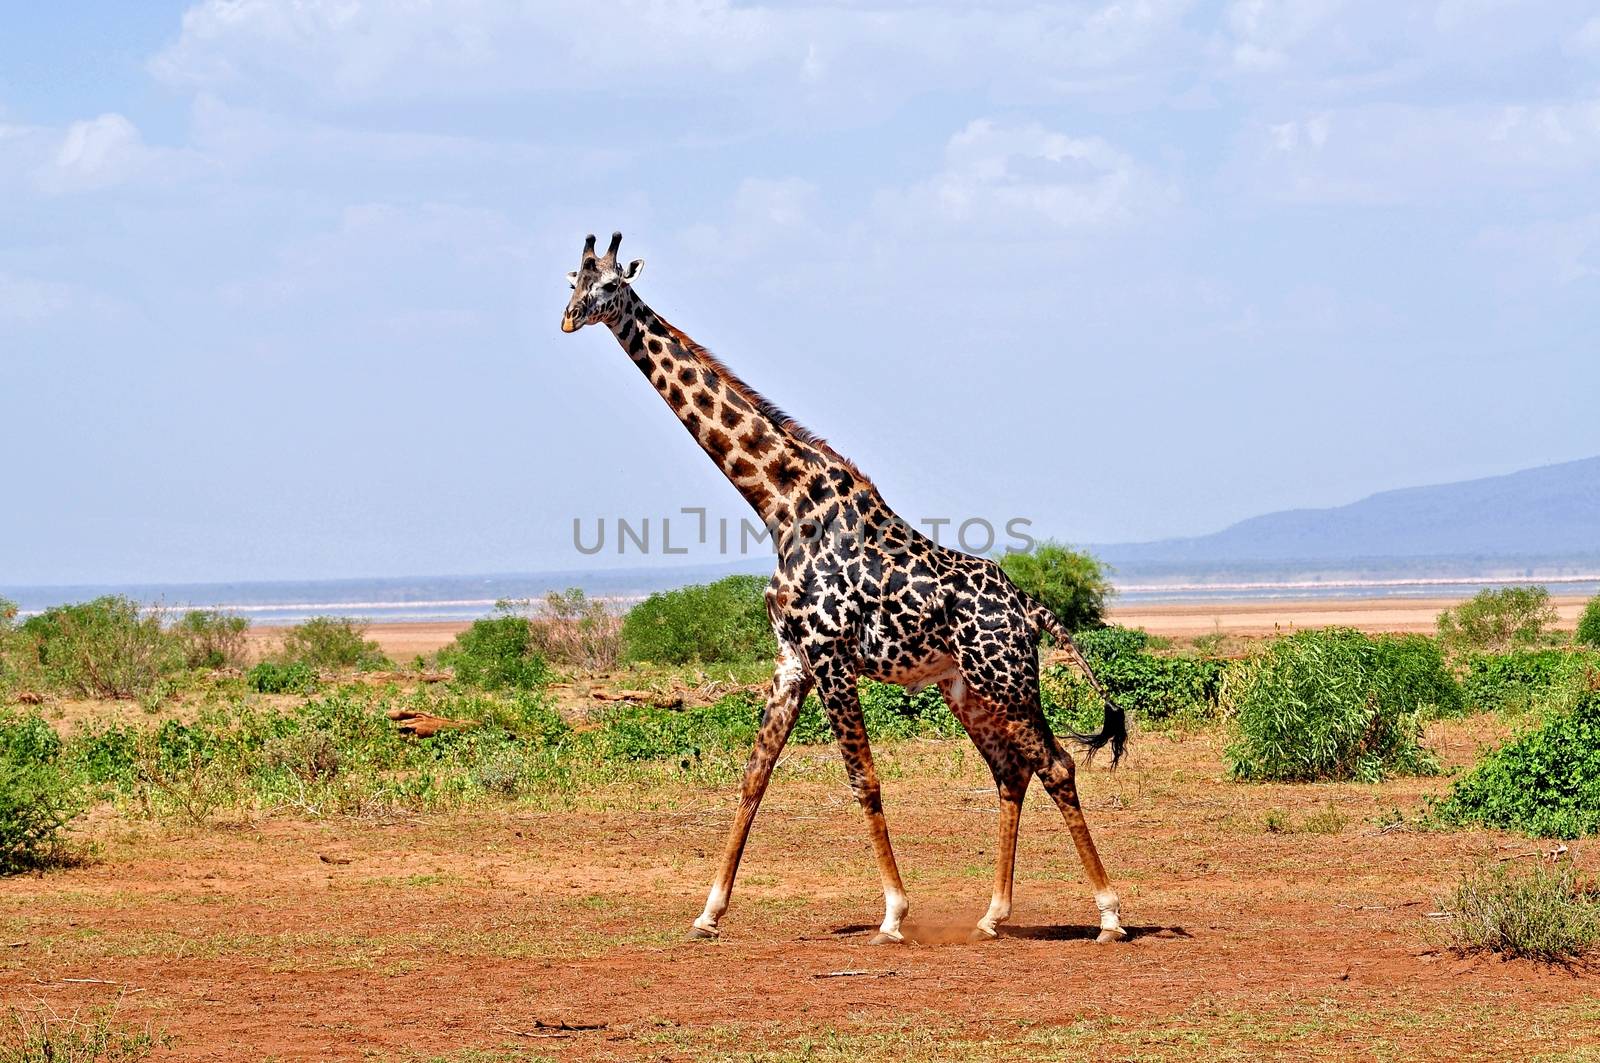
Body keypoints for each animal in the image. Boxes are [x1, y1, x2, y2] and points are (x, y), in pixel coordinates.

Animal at [560, 232, 1126, 947]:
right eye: (572, 279)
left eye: (609, 285)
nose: (569, 319)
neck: (779, 503)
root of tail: (1032, 607)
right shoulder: (793, 659)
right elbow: (753, 777)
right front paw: (708, 912)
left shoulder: (831, 656)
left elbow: (864, 780)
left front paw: (893, 913)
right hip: (965, 687)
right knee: (1011, 771)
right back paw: (994, 915)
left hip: (1006, 681)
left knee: (1056, 766)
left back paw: (1109, 915)